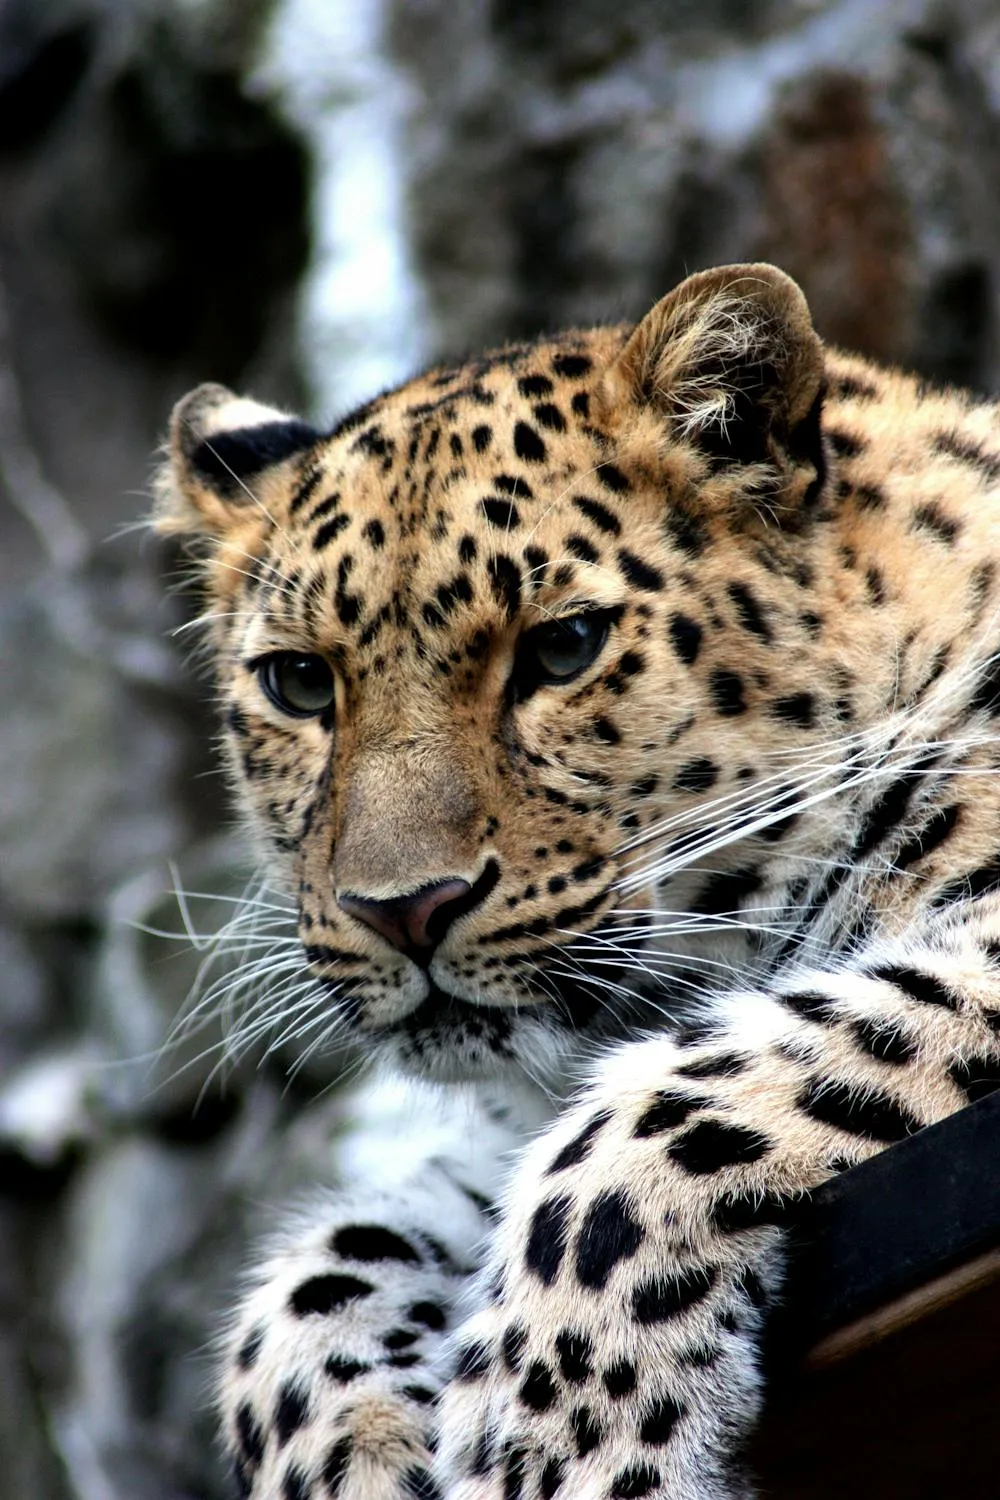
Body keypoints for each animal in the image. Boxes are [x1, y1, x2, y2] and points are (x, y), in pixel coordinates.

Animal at [154, 262, 1000, 1500]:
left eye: (563, 650)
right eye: (300, 683)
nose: (401, 909)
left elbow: (649, 1121)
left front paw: (558, 1447)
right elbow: (318, 1273)